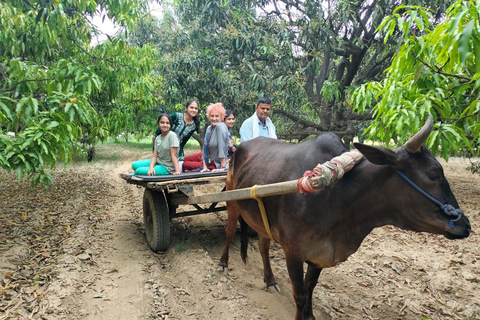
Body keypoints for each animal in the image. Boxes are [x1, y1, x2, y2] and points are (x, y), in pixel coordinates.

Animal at [219, 115, 470, 320]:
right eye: (433, 174)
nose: (465, 224)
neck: (338, 195)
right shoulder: (294, 252)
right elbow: (300, 294)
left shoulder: (319, 254)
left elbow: (311, 286)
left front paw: (310, 315)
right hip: (232, 203)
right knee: (230, 231)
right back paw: (223, 263)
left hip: (261, 219)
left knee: (263, 246)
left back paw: (270, 280)